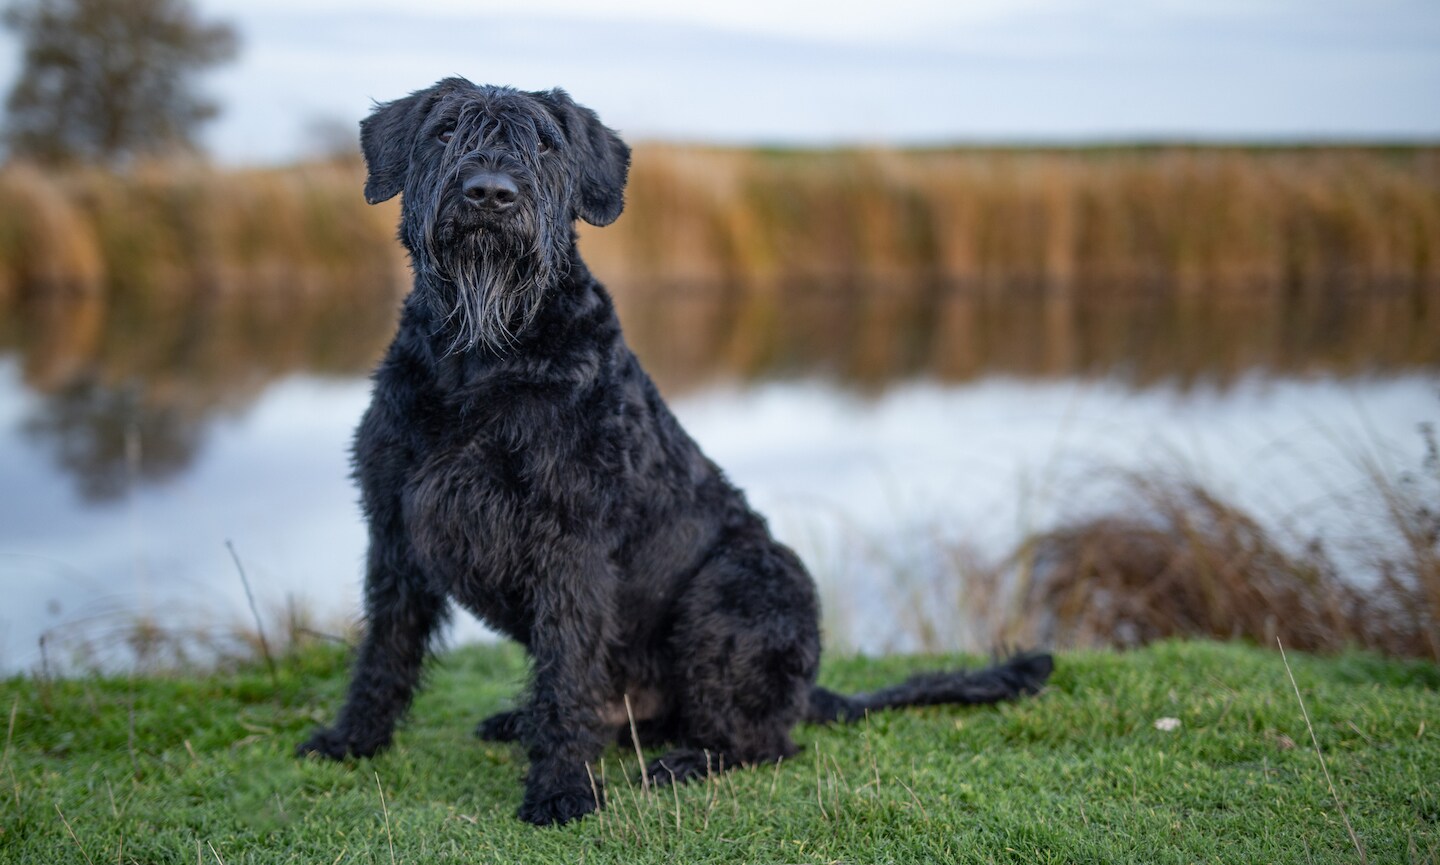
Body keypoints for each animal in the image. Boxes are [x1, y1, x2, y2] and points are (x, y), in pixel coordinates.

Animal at [298, 79, 1054, 823]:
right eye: (447, 130)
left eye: (544, 143)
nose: (490, 192)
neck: (482, 357)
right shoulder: (395, 528)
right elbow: (385, 649)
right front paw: (353, 738)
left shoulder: (570, 542)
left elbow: (568, 668)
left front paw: (561, 788)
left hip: (736, 587)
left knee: (762, 741)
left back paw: (683, 761)